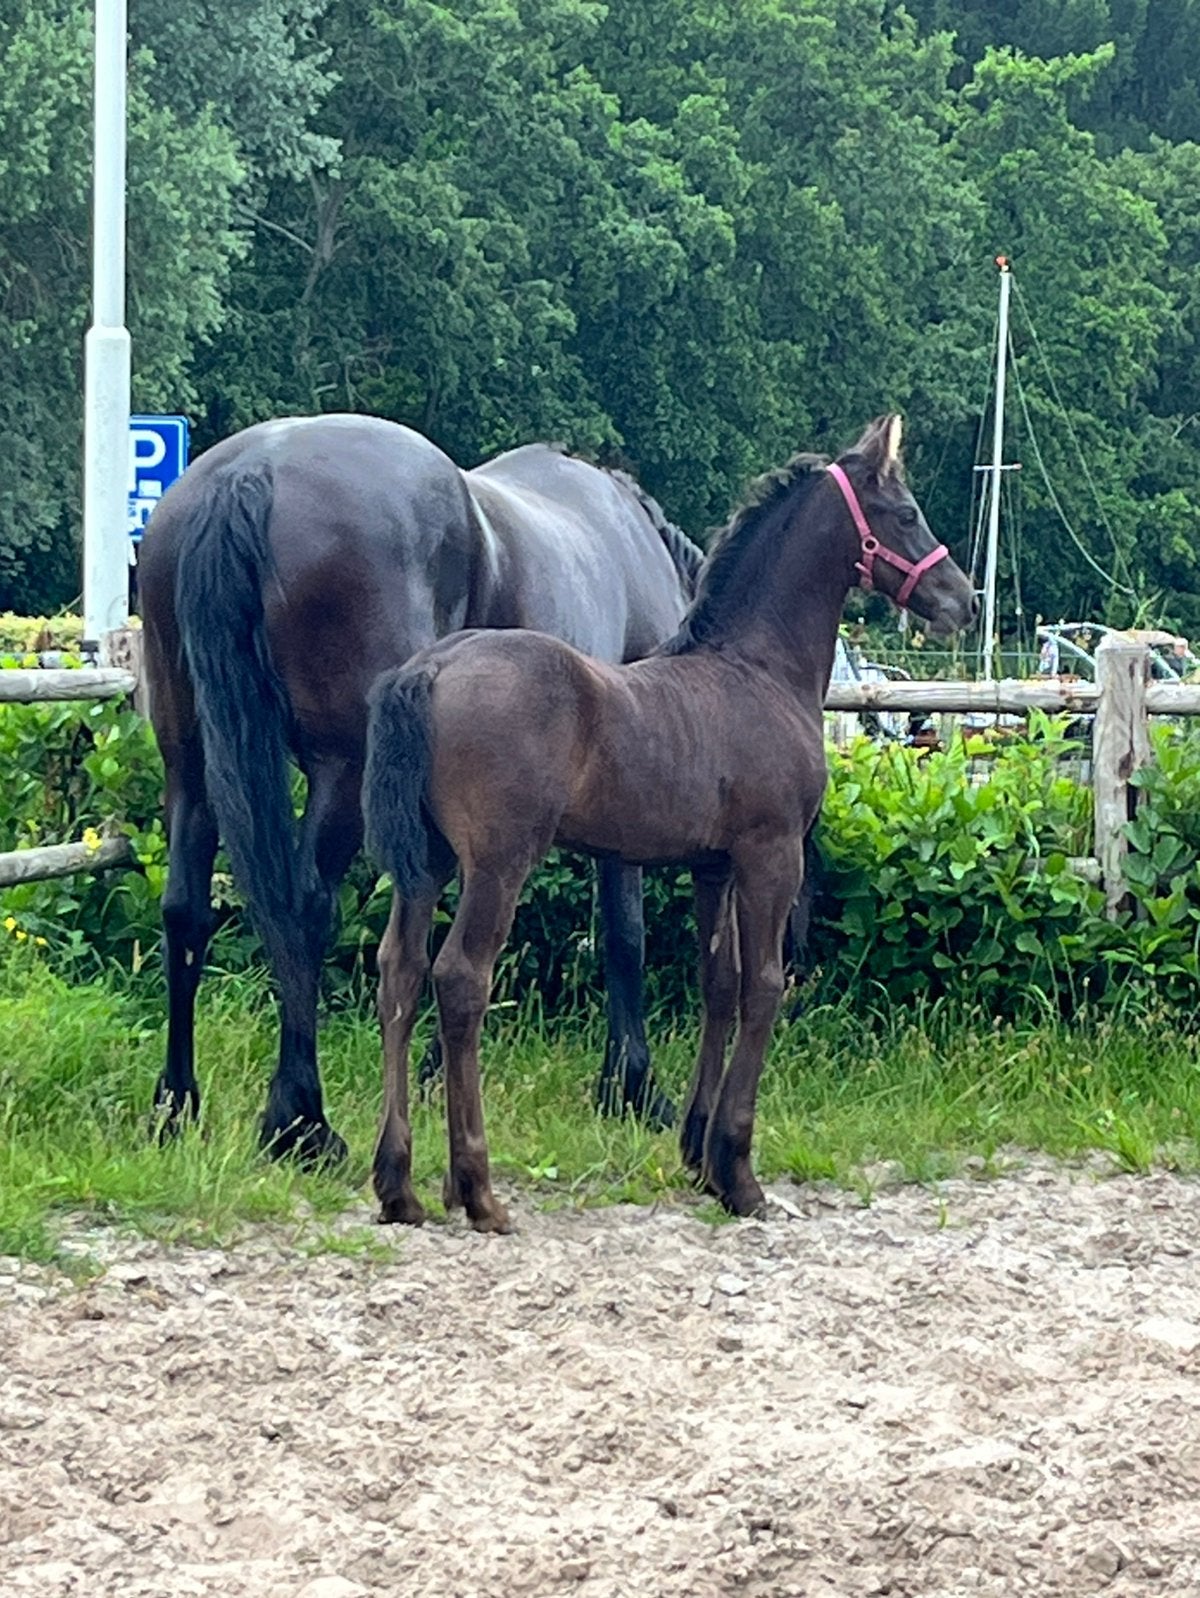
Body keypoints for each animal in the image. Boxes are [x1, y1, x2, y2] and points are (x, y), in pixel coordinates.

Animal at [138, 414, 704, 1163]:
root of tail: (252, 469)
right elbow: (623, 931)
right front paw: (633, 1086)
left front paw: (441, 1074)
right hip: (343, 770)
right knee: (304, 909)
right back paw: (301, 1122)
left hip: (191, 763)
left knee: (185, 911)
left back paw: (175, 1107)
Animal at [362, 415, 977, 1229]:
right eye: (906, 513)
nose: (963, 600)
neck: (756, 669)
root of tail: (429, 669)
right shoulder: (771, 855)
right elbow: (764, 986)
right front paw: (739, 1172)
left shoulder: (712, 865)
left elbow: (719, 981)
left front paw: (698, 1154)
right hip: (497, 863)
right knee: (461, 978)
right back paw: (477, 1189)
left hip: (425, 864)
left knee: (398, 975)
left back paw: (397, 1184)